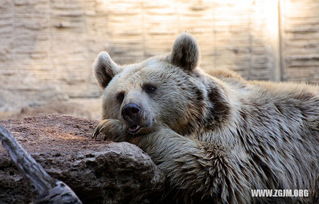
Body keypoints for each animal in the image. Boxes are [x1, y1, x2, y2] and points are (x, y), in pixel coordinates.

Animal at [92, 32, 319, 203]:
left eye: (150, 87)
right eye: (120, 95)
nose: (131, 110)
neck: (195, 121)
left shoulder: (242, 142)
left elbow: (213, 169)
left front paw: (110, 127)